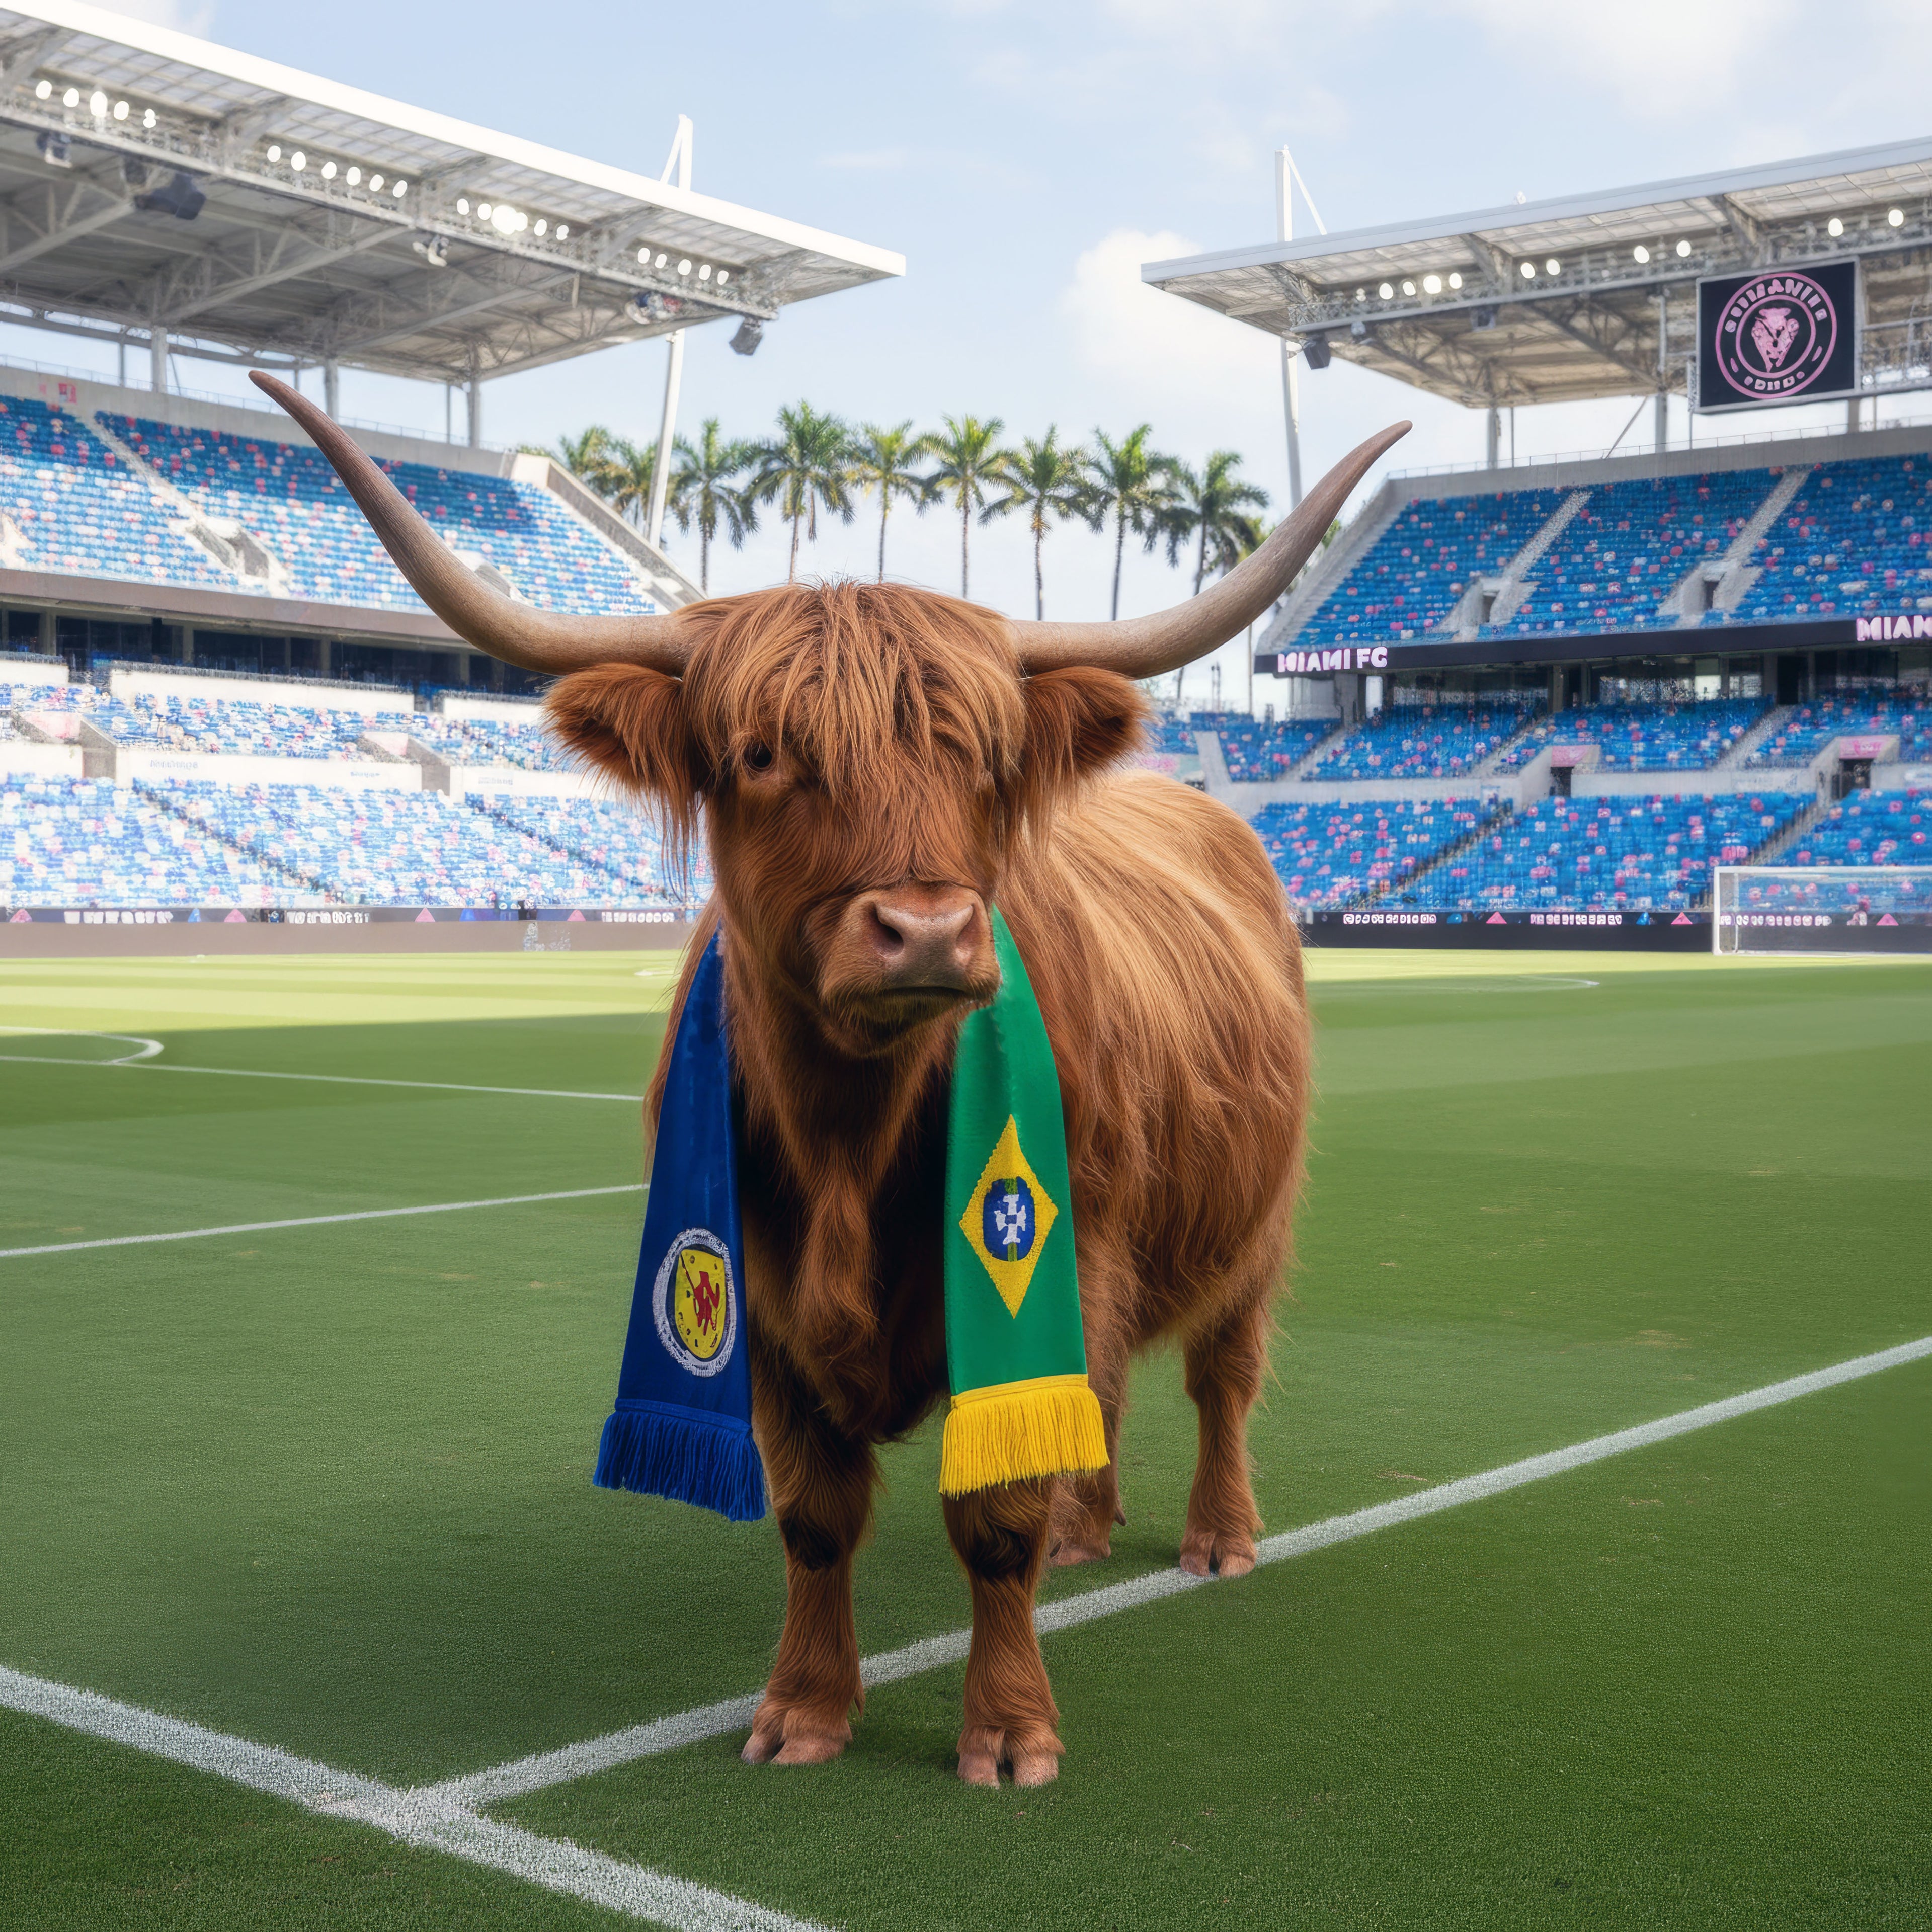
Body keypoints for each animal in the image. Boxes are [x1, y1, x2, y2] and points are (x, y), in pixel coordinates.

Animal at [253, 373, 1406, 1788]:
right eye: (758, 753)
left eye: (983, 756)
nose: (926, 932)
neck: (851, 1135)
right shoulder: (762, 1306)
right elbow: (814, 1516)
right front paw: (803, 1708)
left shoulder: (1043, 1257)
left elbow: (997, 1515)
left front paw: (1009, 1730)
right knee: (1109, 1391)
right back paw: (1092, 1528)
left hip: (1250, 1220)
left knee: (1219, 1375)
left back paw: (1218, 1536)